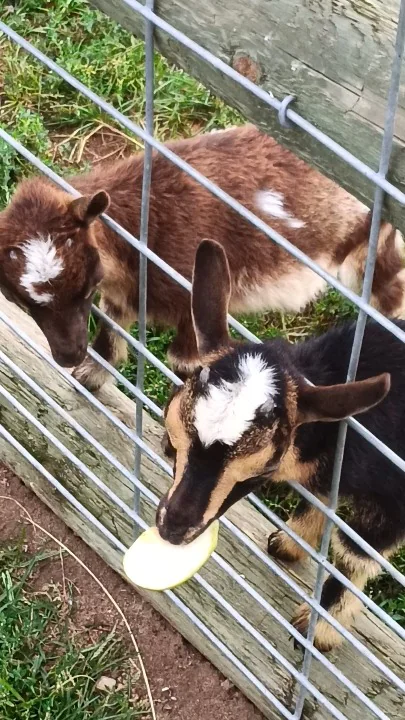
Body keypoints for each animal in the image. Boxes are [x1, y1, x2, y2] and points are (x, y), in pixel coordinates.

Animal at [0, 124, 404, 388]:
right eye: (19, 299)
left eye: (85, 286)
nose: (67, 355)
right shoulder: (123, 293)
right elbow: (111, 330)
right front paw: (90, 377)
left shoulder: (193, 300)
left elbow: (186, 365)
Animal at [157, 238, 405, 653]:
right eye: (174, 436)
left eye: (258, 472)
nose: (173, 529)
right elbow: (323, 496)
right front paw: (289, 542)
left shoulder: (392, 501)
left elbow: (356, 555)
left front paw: (317, 632)